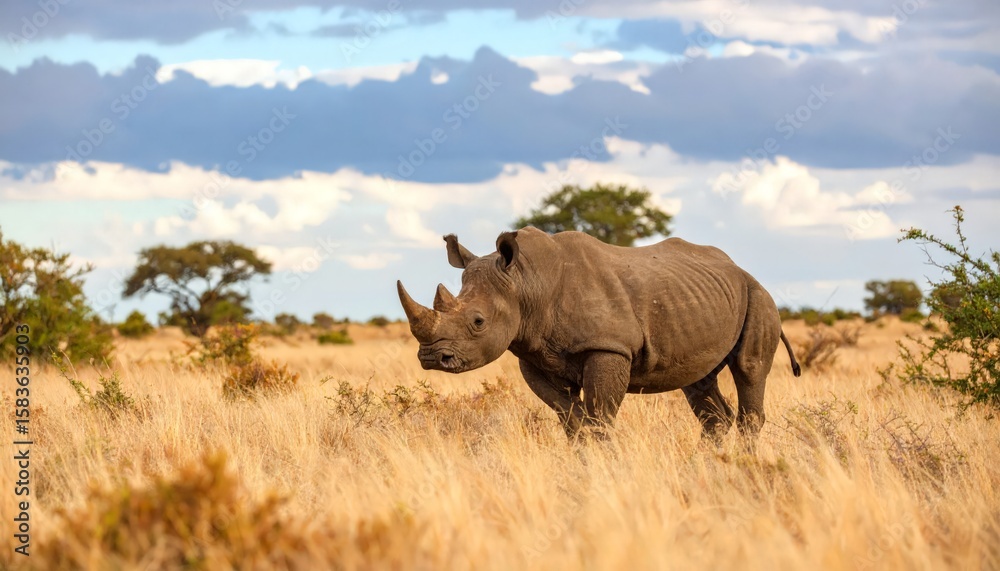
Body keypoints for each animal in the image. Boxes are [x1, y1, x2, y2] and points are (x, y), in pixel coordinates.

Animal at [396, 227, 801, 440]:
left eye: (478, 322)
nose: (432, 358)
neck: (526, 283)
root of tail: (739, 269)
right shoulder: (532, 355)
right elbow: (571, 418)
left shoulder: (609, 347)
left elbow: (600, 417)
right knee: (699, 383)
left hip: (758, 296)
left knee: (748, 368)